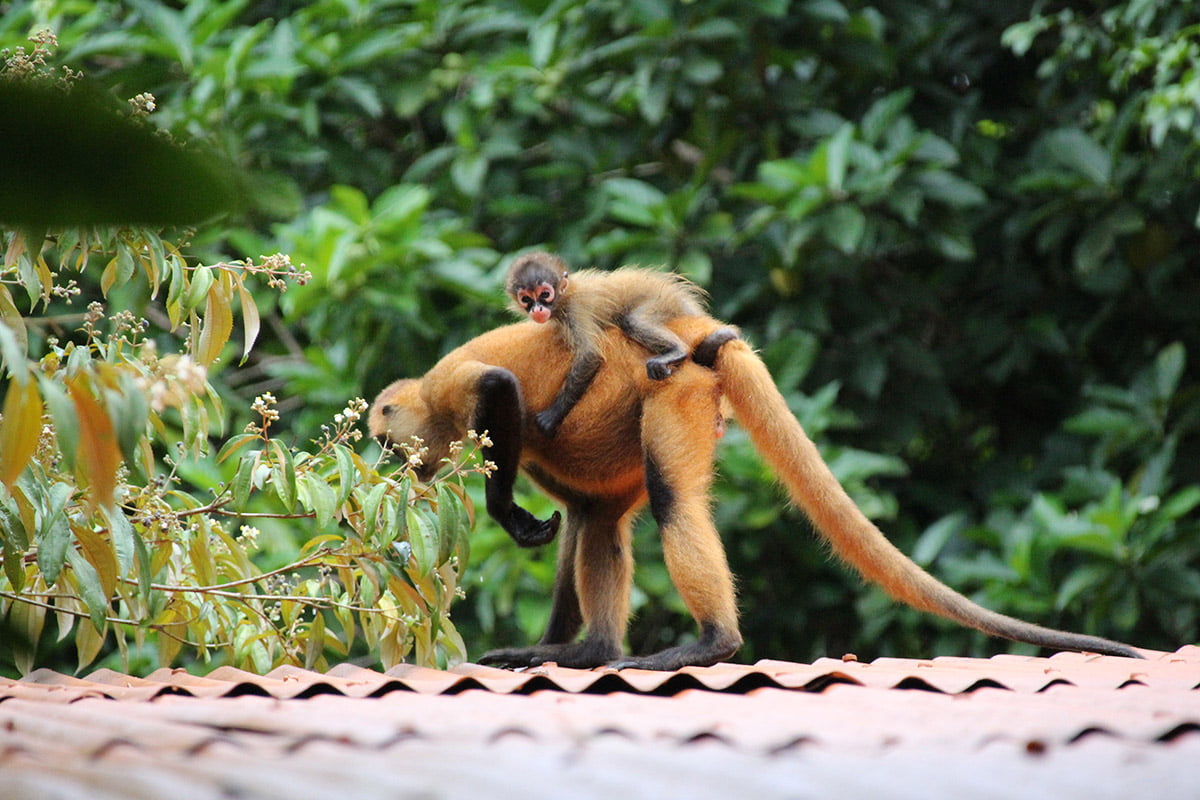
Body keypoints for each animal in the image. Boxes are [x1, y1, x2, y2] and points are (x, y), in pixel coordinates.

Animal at [369, 315, 1144, 670]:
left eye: (387, 443)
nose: (393, 467)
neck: (433, 407)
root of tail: (685, 330)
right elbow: (582, 515)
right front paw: (552, 643)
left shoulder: (455, 393)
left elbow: (500, 386)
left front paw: (506, 512)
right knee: (602, 519)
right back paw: (587, 650)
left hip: (674, 387)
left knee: (669, 499)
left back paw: (711, 642)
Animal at [504, 251, 706, 437]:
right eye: (526, 299)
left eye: (545, 294)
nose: (537, 309)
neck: (566, 295)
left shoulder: (575, 309)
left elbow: (589, 356)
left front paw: (553, 415)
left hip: (662, 301)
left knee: (632, 322)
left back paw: (677, 350)